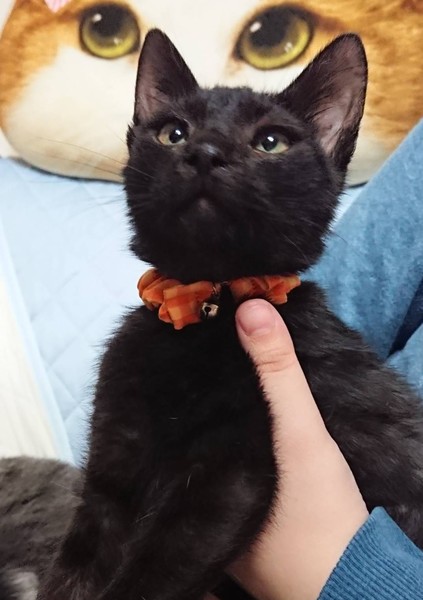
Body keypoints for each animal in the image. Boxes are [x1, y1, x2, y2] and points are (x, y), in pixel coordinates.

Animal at [37, 30, 423, 600]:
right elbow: (74, 569)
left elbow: (147, 577)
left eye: (271, 142)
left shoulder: (229, 476)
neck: (209, 308)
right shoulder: (112, 465)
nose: (205, 153)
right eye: (173, 133)